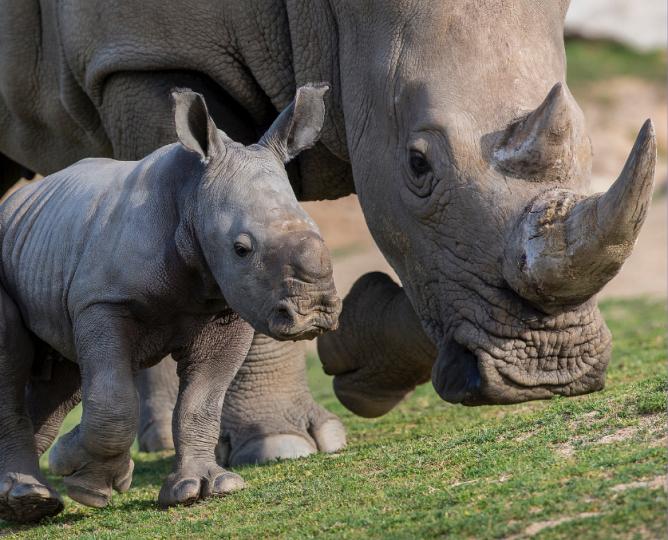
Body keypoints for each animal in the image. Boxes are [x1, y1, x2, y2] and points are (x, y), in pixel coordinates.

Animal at [0, 1, 656, 463]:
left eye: (589, 149)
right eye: (418, 164)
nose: (551, 373)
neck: (334, 13)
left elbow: (426, 274)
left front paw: (358, 356)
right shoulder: (149, 58)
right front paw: (280, 445)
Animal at [0, 85, 340, 523]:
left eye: (316, 230)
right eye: (241, 249)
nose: (315, 311)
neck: (192, 198)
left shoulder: (225, 310)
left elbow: (202, 401)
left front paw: (201, 488)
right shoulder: (104, 301)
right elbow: (113, 398)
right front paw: (87, 483)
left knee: (61, 378)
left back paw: (28, 499)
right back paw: (29, 496)